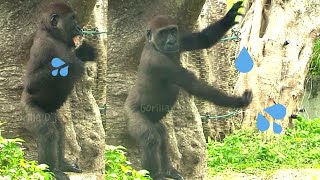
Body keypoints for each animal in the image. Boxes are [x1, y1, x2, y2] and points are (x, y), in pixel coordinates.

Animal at [21, 2, 95, 179]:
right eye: (73, 19)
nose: (79, 28)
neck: (52, 34)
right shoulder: (44, 46)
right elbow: (32, 82)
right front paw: (72, 61)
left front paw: (83, 53)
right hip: (29, 109)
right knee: (48, 132)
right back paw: (50, 170)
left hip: (53, 112)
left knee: (60, 129)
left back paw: (62, 164)